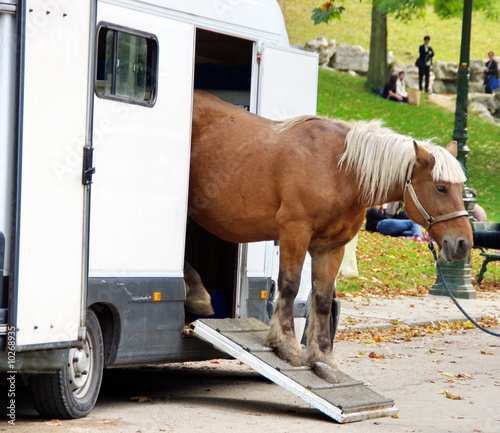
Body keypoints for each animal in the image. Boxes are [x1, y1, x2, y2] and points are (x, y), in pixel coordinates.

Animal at [188, 90, 472, 382]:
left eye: (462, 187)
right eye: (441, 187)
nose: (463, 243)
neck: (339, 171)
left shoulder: (331, 247)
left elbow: (322, 299)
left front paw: (322, 357)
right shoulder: (295, 232)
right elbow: (290, 285)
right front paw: (285, 343)